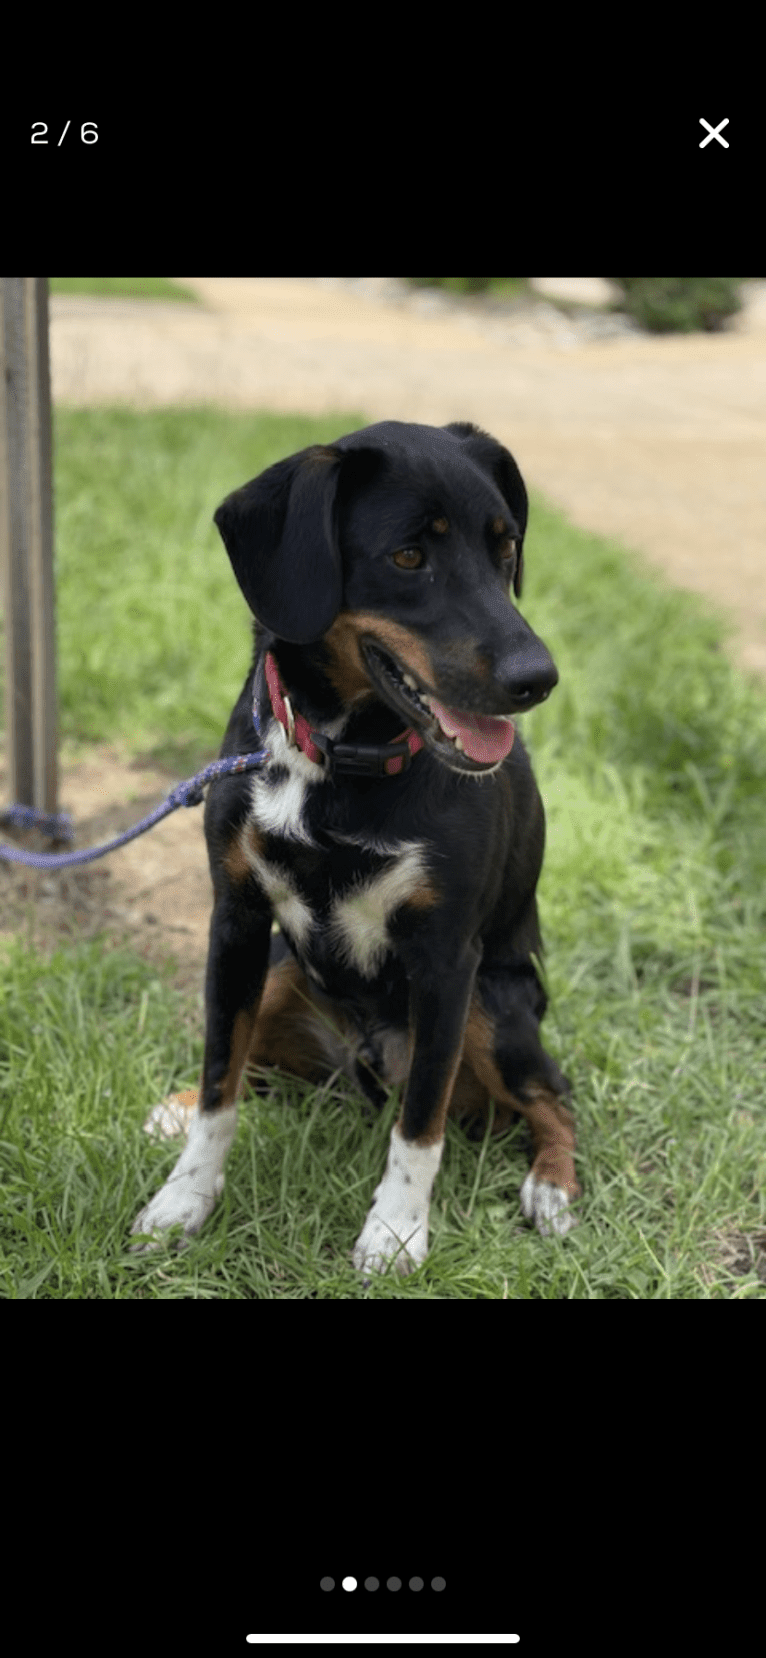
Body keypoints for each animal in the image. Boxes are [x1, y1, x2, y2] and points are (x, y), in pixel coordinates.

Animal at [130, 424, 580, 1266]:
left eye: (505, 546)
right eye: (408, 556)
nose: (538, 679)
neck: (338, 759)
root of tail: (358, 1068)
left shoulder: (447, 960)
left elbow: (421, 1125)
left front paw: (396, 1233)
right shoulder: (235, 922)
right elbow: (219, 1080)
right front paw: (184, 1199)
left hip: (494, 1007)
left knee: (551, 1096)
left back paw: (552, 1188)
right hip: (281, 970)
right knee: (254, 1070)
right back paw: (175, 1104)